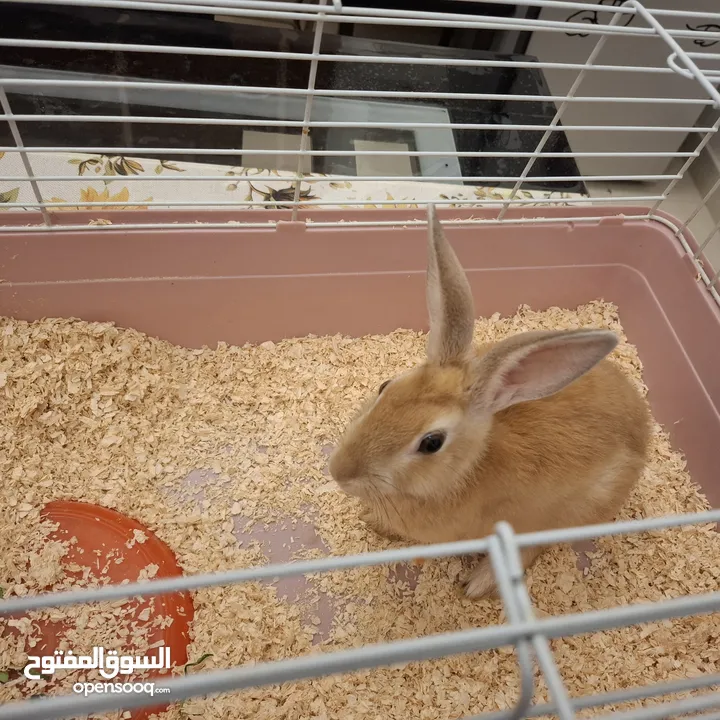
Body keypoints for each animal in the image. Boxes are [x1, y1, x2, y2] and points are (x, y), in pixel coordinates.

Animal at [328, 203, 651, 600]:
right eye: (385, 386)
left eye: (431, 443)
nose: (339, 472)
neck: (464, 471)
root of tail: (644, 432)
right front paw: (371, 520)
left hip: (568, 513)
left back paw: (480, 583)